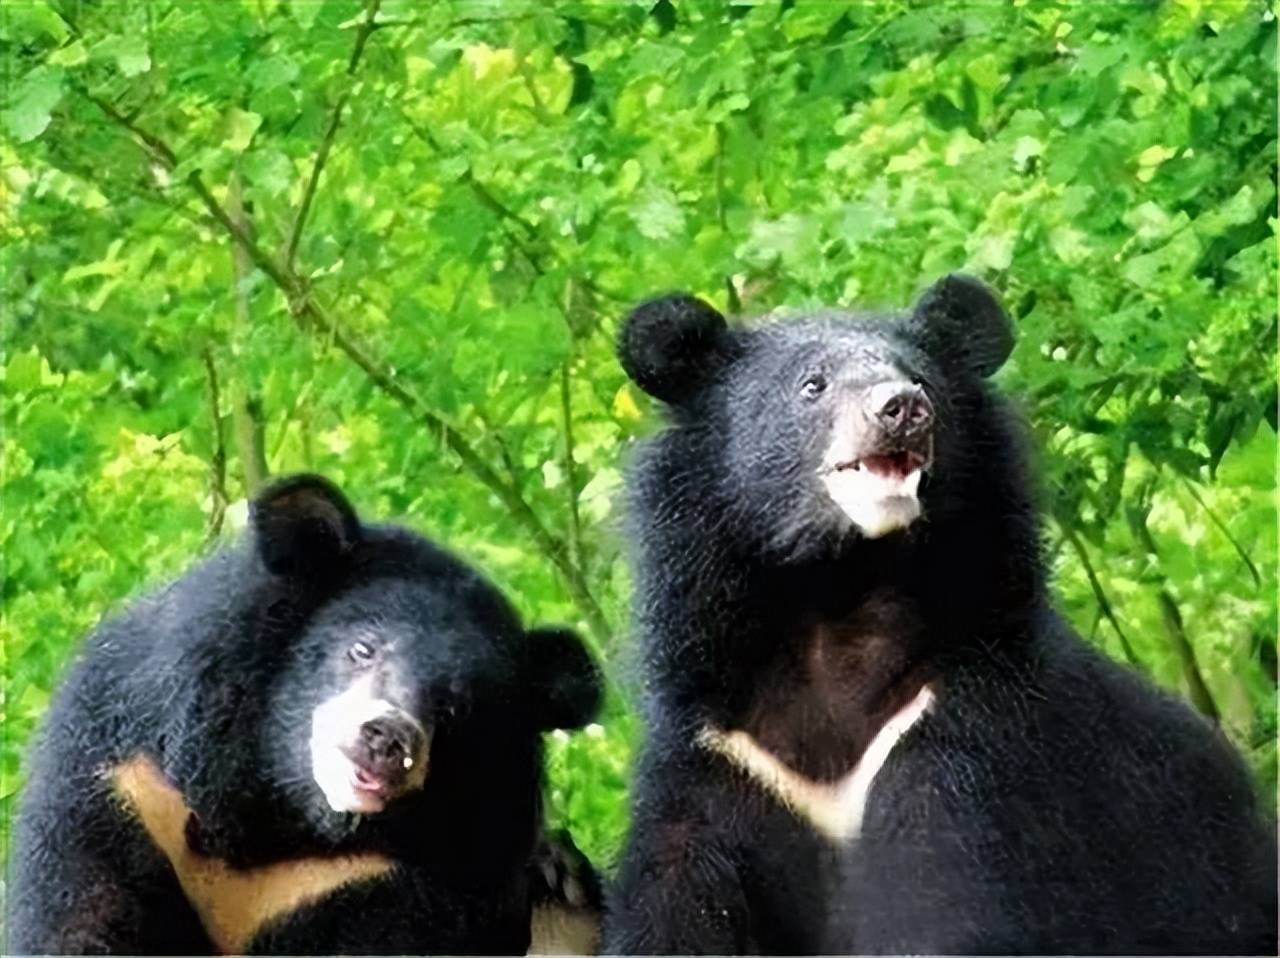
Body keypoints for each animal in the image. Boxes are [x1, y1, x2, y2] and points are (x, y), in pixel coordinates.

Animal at [10, 476, 601, 952]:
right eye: (362, 648)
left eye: (458, 706)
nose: (388, 739)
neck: (280, 816)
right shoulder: (130, 785)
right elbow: (84, 919)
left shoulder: (380, 881)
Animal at [601, 272, 1280, 952]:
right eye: (812, 384)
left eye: (920, 379)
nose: (901, 408)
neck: (838, 597)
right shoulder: (719, 756)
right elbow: (677, 902)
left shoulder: (967, 740)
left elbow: (944, 902)